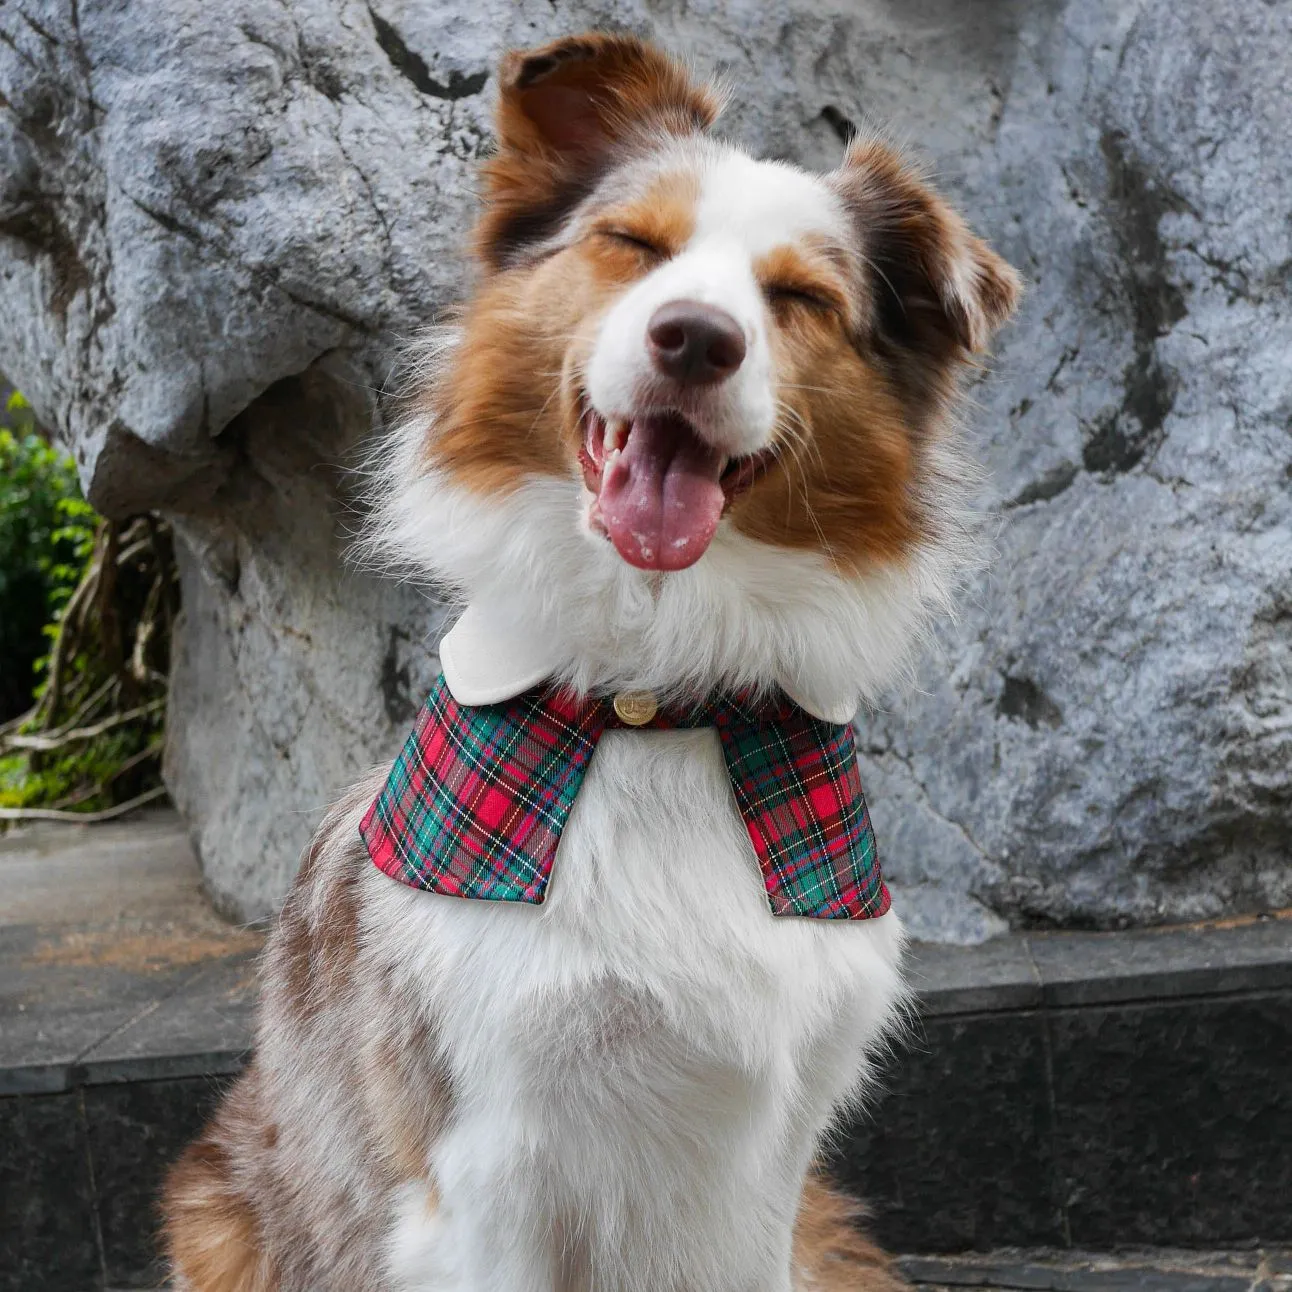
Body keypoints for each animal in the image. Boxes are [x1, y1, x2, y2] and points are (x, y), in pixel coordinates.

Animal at [164, 30, 1018, 1292]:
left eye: (798, 298)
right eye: (633, 246)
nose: (696, 337)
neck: (653, 696)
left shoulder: (769, 1161)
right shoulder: (481, 1160)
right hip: (217, 1207)